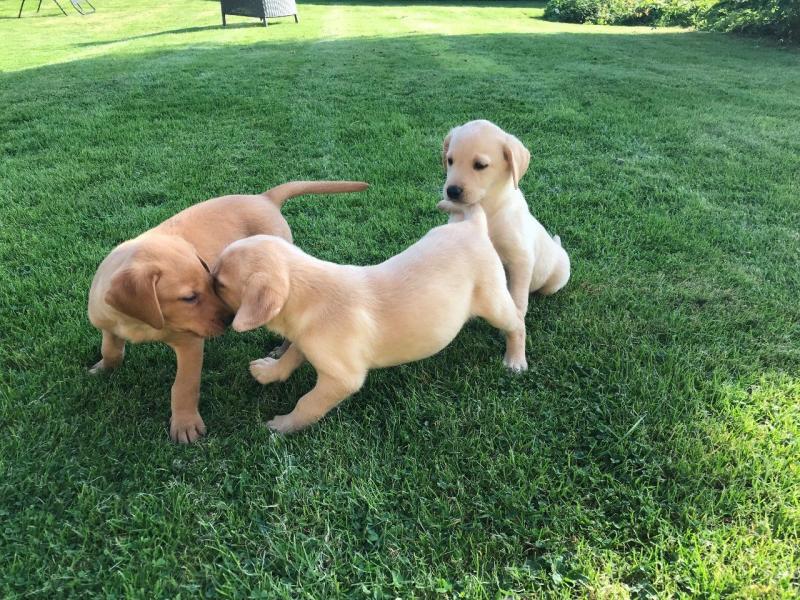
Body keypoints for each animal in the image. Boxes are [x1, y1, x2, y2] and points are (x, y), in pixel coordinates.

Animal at [86, 178, 368, 440]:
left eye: (210, 281)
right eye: (189, 298)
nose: (228, 320)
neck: (140, 323)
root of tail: (263, 198)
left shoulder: (191, 344)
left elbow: (184, 385)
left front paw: (185, 424)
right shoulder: (108, 323)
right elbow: (111, 350)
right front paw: (102, 368)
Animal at [209, 204, 528, 434]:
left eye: (220, 283)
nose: (205, 277)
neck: (307, 294)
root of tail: (473, 226)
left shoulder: (342, 378)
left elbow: (307, 403)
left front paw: (283, 426)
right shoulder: (306, 338)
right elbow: (291, 356)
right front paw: (269, 371)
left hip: (494, 301)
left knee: (517, 323)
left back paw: (515, 360)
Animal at [440, 120, 572, 326]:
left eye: (480, 165)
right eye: (450, 160)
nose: (452, 191)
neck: (487, 209)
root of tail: (559, 249)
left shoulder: (520, 260)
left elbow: (518, 297)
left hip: (556, 278)